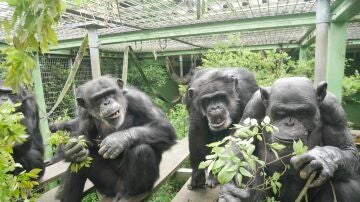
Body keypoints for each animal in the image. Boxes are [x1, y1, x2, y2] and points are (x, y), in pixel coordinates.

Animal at [219, 76, 360, 201]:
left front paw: (322, 157)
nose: (289, 123)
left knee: (345, 183)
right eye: (281, 113)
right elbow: (239, 143)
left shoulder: (334, 109)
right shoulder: (253, 107)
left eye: (302, 113)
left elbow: (347, 149)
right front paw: (229, 192)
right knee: (248, 167)